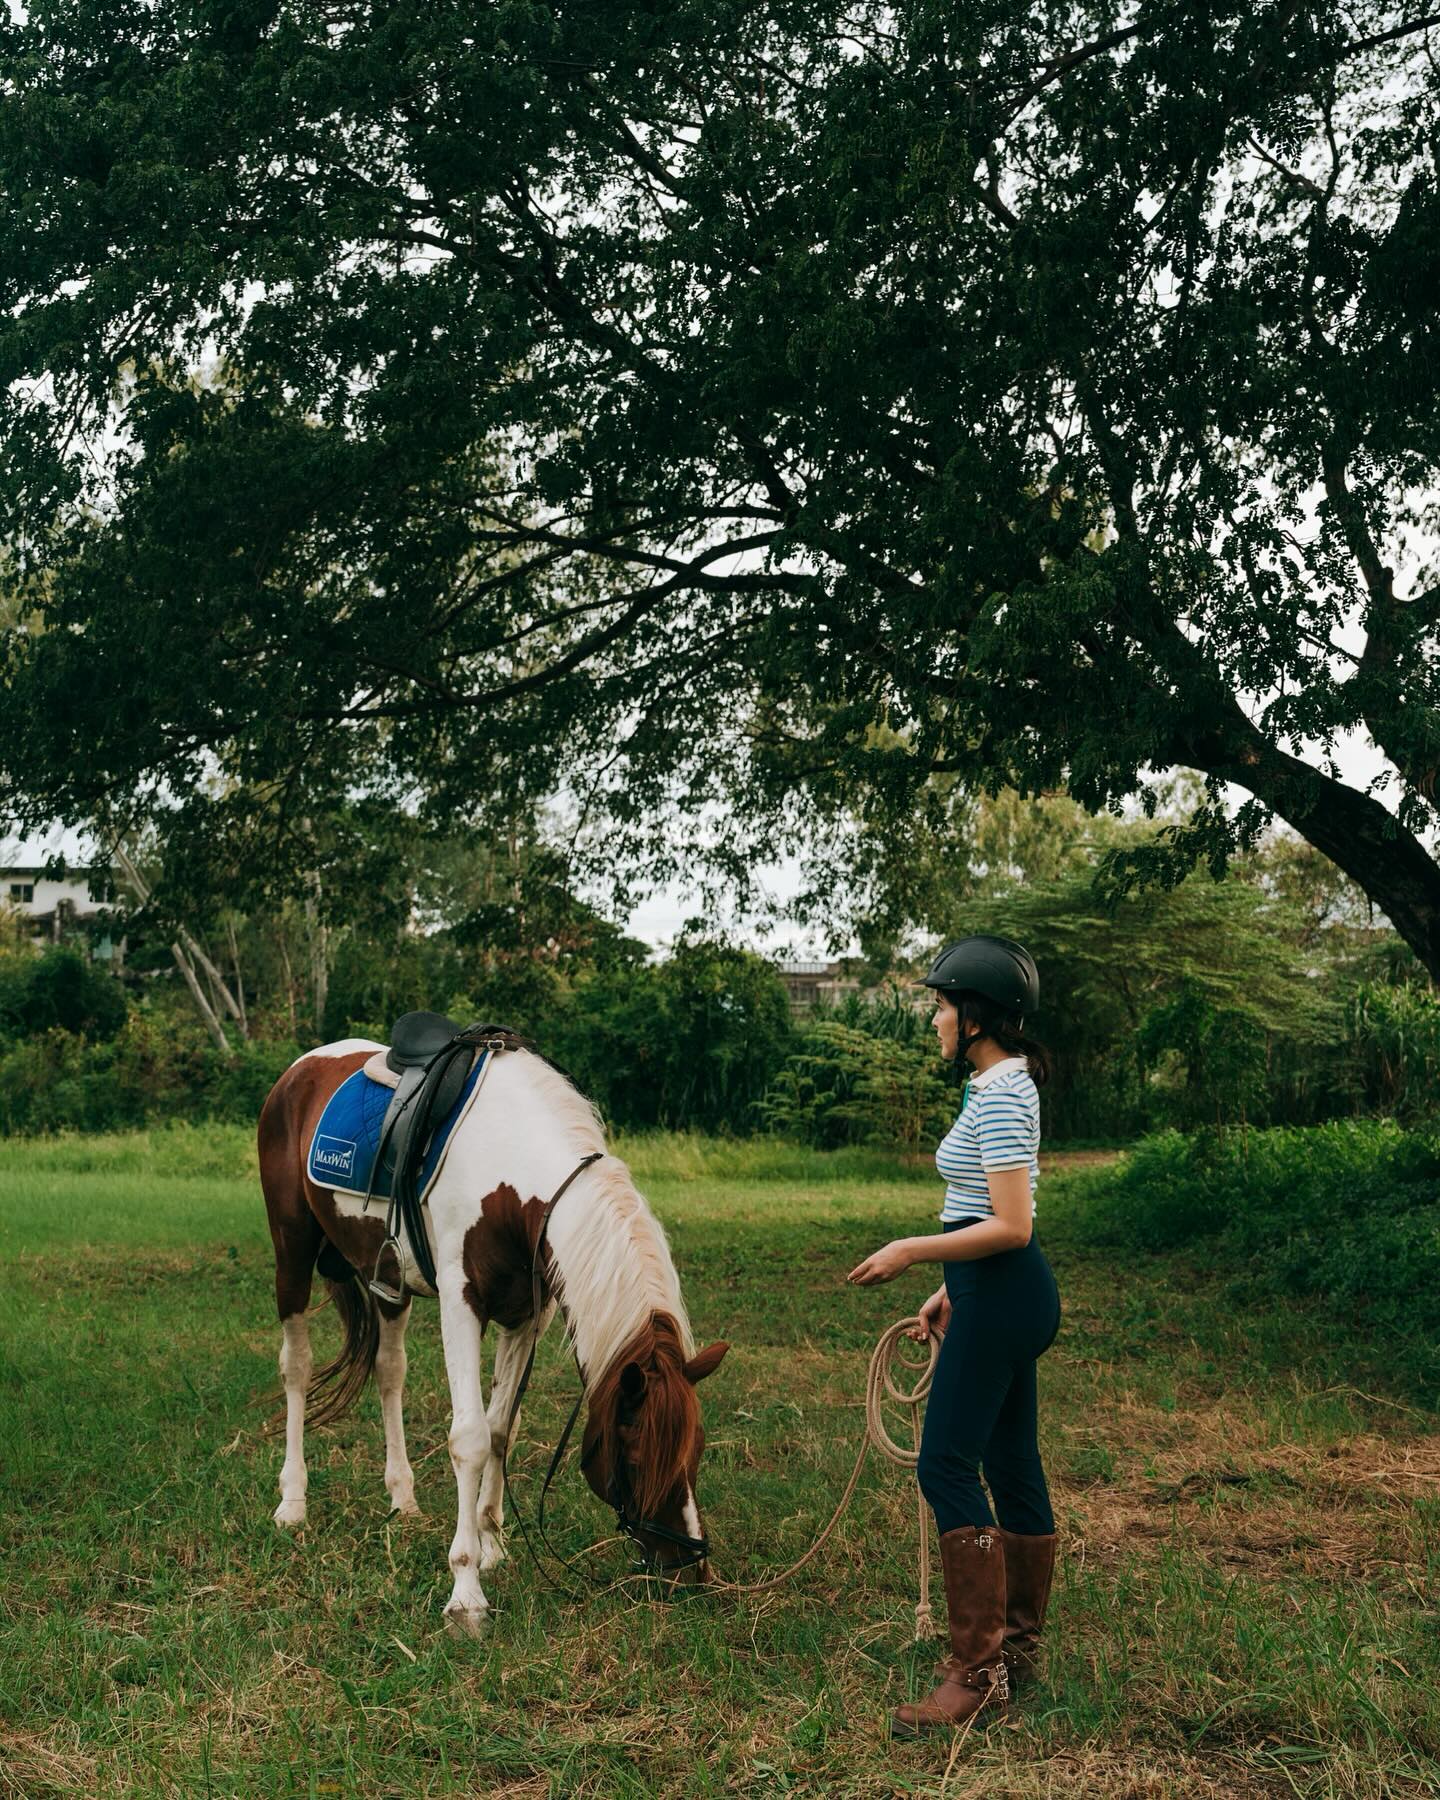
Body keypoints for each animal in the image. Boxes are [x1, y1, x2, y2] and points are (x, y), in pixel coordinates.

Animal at [255, 1029, 730, 1634]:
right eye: (637, 1458)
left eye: (697, 1450)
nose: (688, 1569)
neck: (514, 1174)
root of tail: (300, 1070)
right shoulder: (461, 1304)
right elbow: (471, 1438)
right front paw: (466, 1591)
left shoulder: (527, 1315)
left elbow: (503, 1428)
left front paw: (492, 1545)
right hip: (290, 1252)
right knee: (296, 1368)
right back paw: (293, 1502)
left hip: (389, 1282)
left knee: (390, 1372)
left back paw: (402, 1498)